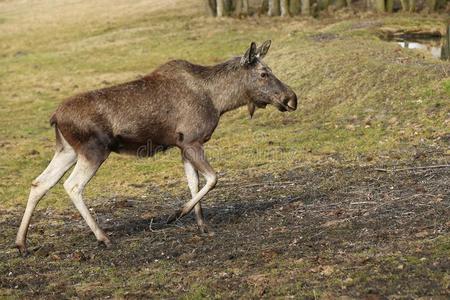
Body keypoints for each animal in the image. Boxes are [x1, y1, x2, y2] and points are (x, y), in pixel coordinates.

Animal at [15, 40, 298, 253]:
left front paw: (202, 226)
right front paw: (176, 214)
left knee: (40, 183)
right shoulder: (192, 141)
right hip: (93, 150)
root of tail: (55, 117)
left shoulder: (183, 146)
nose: (291, 98)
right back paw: (103, 237)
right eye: (263, 73)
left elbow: (194, 183)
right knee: (72, 186)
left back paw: (21, 243)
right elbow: (213, 178)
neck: (219, 101)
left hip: (67, 151)